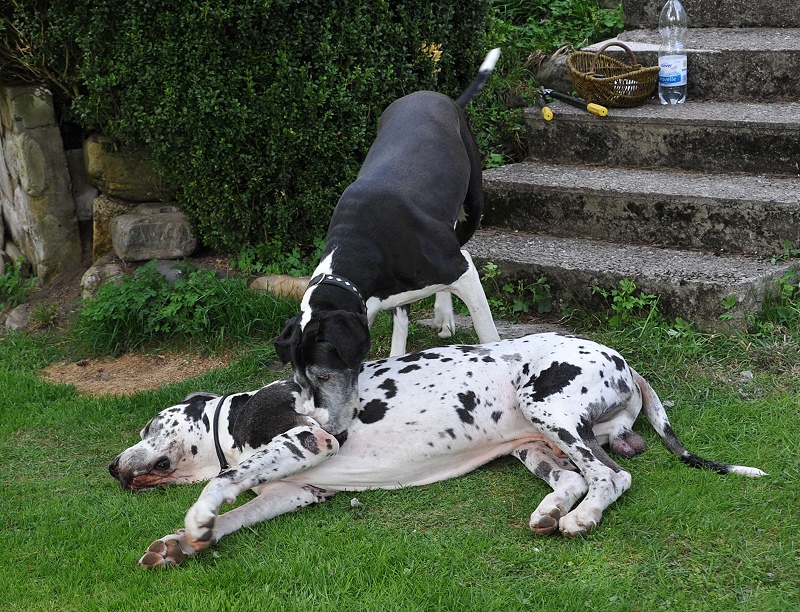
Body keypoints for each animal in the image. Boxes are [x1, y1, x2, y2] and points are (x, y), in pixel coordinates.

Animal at [109, 332, 765, 569]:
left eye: (149, 426)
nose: (112, 465)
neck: (236, 416)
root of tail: (625, 360)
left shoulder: (305, 438)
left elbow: (222, 482)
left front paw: (196, 518)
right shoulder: (297, 490)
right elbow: (239, 510)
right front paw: (184, 542)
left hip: (547, 406)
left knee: (612, 478)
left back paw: (579, 520)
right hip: (533, 443)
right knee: (577, 478)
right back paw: (551, 512)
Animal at [274, 49, 503, 437]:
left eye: (324, 375)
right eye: (298, 381)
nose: (320, 427)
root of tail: (437, 95)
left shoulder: (458, 268)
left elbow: (486, 330)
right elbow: (400, 326)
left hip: (473, 203)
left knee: (466, 246)